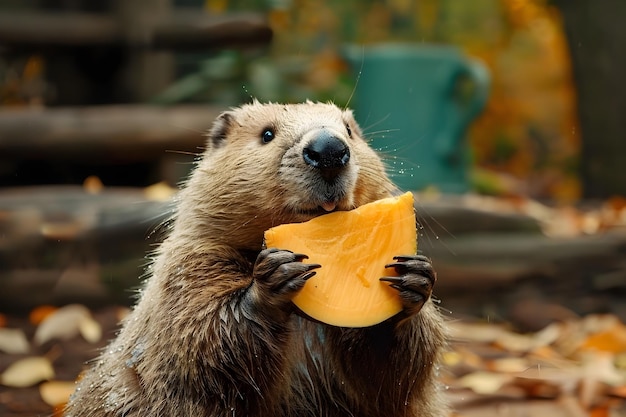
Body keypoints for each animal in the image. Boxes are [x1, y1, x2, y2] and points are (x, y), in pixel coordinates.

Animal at [66, 101, 446, 416]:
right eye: (267, 134)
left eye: (349, 130)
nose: (329, 149)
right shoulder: (191, 262)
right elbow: (195, 336)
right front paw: (273, 279)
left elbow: (395, 379)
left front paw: (413, 277)